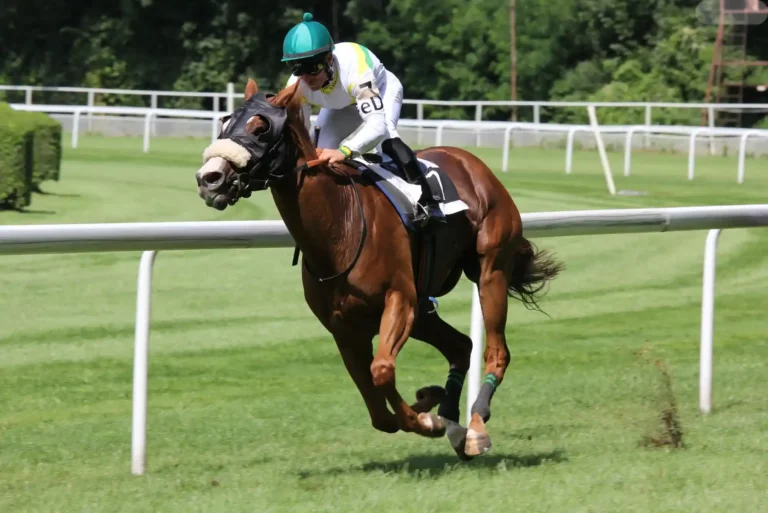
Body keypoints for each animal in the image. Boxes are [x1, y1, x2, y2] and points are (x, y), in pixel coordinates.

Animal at [195, 78, 563, 459]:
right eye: (225, 123)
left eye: (261, 127)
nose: (209, 178)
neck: (338, 226)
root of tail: (472, 162)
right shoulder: (344, 328)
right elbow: (377, 409)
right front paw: (430, 406)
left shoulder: (399, 300)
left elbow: (382, 371)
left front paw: (427, 418)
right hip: (424, 309)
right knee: (461, 346)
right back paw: (451, 419)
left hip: (490, 270)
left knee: (496, 350)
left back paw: (474, 427)